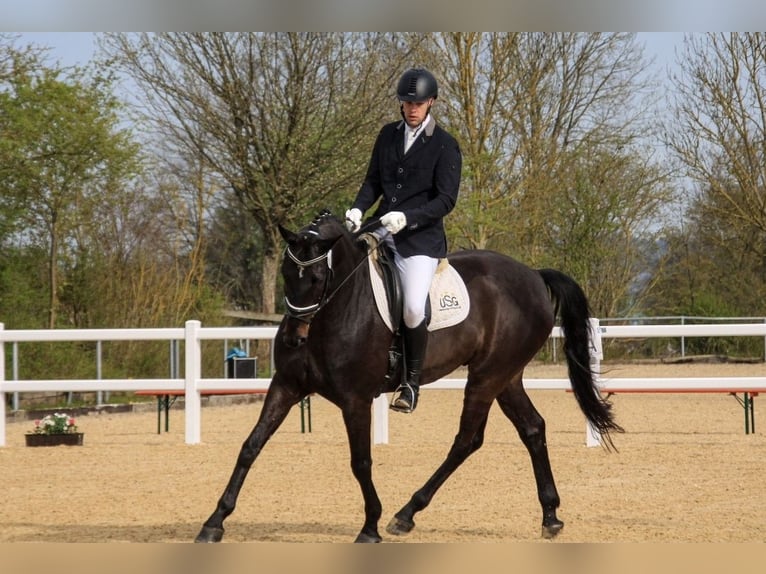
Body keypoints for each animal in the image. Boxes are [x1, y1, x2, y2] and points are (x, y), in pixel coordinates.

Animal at [195, 210, 623, 543]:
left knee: (467, 440)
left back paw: (405, 514)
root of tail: (533, 275)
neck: (336, 309)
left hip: (487, 377)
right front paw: (214, 522)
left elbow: (361, 461)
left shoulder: (355, 399)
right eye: (286, 273)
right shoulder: (286, 386)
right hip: (507, 376)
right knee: (532, 428)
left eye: (316, 278)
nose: (293, 338)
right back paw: (550, 516)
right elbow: (250, 446)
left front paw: (370, 526)